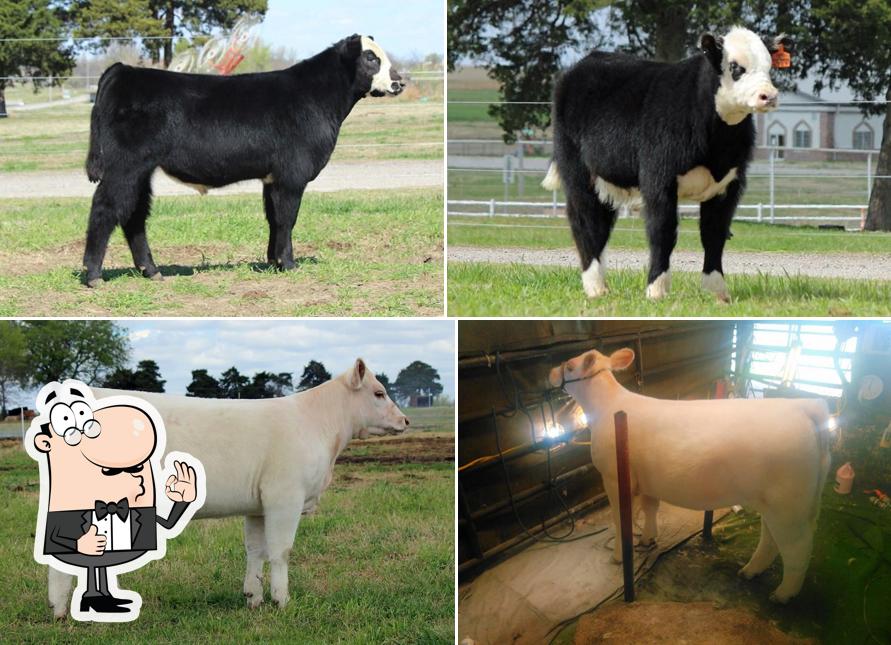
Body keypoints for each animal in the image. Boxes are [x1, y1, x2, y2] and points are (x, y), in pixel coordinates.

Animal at [46, 358, 409, 617]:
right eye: (379, 393)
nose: (406, 421)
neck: (317, 425)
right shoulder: (285, 498)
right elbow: (281, 551)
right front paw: (282, 600)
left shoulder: (258, 506)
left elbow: (256, 551)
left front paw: (254, 597)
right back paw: (62, 610)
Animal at [82, 34, 405, 287]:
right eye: (370, 57)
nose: (399, 82)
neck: (319, 98)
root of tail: (123, 70)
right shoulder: (292, 174)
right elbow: (288, 218)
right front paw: (289, 264)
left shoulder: (273, 178)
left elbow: (274, 218)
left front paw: (274, 262)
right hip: (125, 166)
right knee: (105, 209)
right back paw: (94, 275)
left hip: (141, 170)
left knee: (134, 215)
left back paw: (151, 271)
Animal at [542, 27, 789, 302]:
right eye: (736, 67)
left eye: (769, 66)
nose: (769, 96)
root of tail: (585, 63)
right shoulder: (658, 179)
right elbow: (663, 232)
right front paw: (656, 289)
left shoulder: (730, 185)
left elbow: (714, 234)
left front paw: (717, 291)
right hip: (577, 172)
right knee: (585, 221)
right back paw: (595, 287)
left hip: (606, 179)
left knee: (601, 225)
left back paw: (603, 286)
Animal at [549, 347, 831, 603]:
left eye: (569, 366)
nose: (551, 373)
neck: (606, 407)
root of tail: (804, 407)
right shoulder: (647, 481)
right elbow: (650, 508)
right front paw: (648, 539)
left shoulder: (612, 477)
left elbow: (620, 520)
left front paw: (618, 556)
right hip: (777, 504)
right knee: (770, 540)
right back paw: (750, 571)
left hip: (788, 507)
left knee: (798, 547)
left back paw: (783, 594)